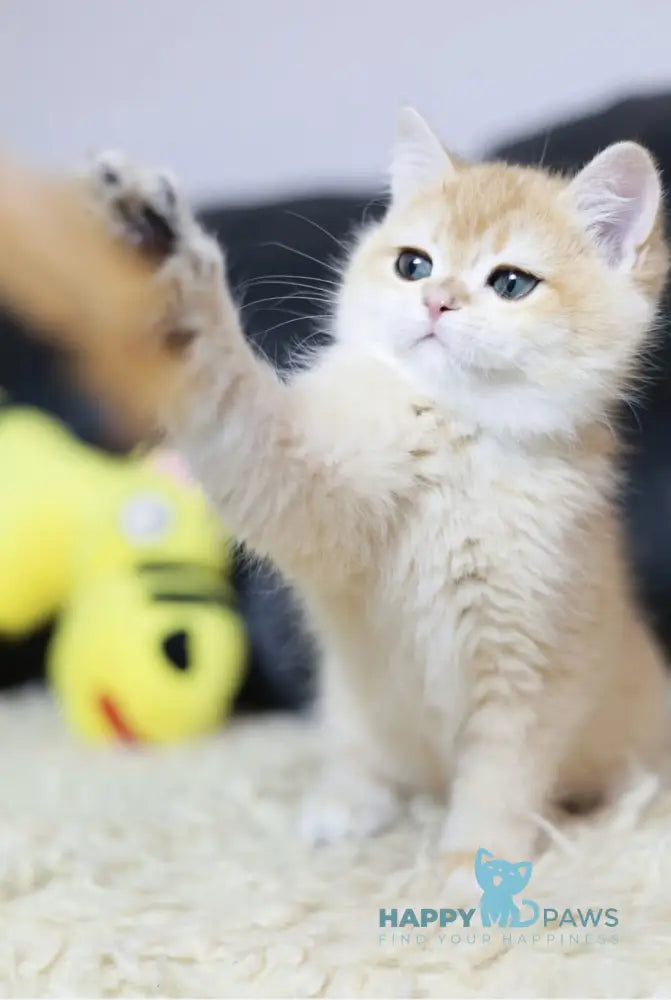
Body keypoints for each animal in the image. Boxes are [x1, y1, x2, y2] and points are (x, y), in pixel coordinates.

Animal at [80, 113, 671, 868]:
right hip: (350, 699)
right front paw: (161, 253)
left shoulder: (528, 669)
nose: (436, 300)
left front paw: (473, 864)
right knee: (364, 755)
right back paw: (347, 805)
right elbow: (231, 398)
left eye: (511, 283)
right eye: (412, 264)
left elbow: (501, 777)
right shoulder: (306, 484)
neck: (454, 435)